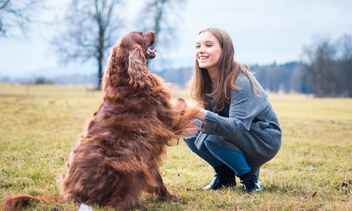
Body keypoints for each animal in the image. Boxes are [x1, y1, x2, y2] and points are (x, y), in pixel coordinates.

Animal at [2, 31, 199, 211]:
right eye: (141, 34)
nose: (153, 32)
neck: (126, 79)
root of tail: (71, 197)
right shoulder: (168, 119)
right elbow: (184, 107)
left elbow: (157, 178)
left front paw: (168, 197)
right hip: (124, 167)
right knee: (114, 203)